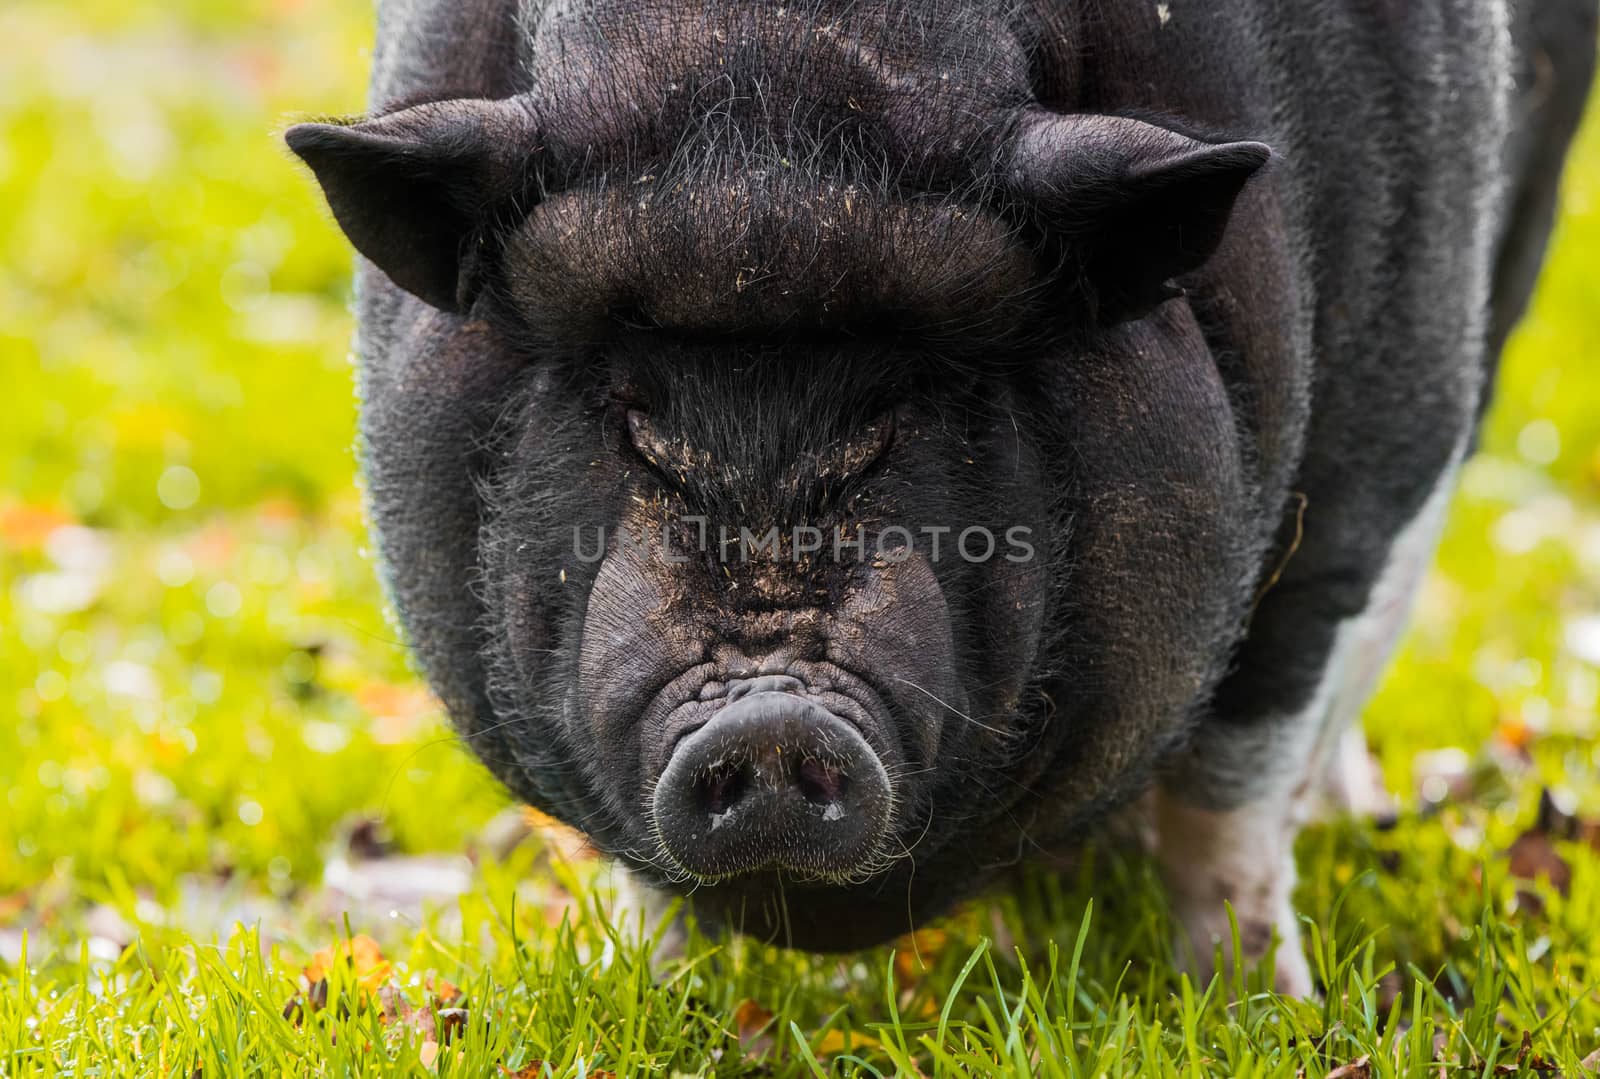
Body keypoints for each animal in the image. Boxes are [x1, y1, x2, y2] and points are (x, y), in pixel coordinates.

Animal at [291, 2, 1600, 992]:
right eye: (636, 422)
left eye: (901, 409)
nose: (768, 718)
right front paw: (660, 996)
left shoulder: (1372, 461)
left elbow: (1234, 785)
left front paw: (1255, 1007)